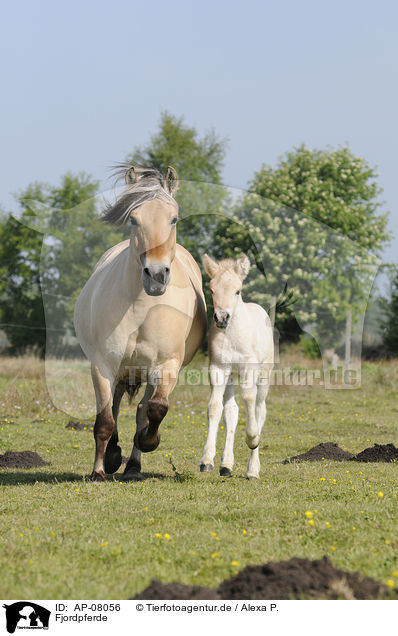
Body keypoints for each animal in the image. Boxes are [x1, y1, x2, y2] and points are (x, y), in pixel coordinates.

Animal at [73, 166, 207, 480]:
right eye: (133, 219)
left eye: (173, 218)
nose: (156, 275)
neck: (141, 306)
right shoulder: (103, 365)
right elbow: (104, 420)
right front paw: (100, 469)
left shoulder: (166, 365)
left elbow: (155, 409)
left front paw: (148, 442)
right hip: (122, 370)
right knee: (115, 406)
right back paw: (113, 456)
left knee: (142, 410)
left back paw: (133, 465)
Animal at [199, 256, 274, 480]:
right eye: (212, 290)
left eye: (237, 291)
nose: (222, 318)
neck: (232, 336)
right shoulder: (217, 369)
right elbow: (215, 407)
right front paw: (207, 460)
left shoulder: (250, 367)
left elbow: (249, 398)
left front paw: (252, 438)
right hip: (232, 375)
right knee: (231, 410)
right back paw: (226, 465)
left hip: (264, 375)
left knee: (259, 408)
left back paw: (252, 469)